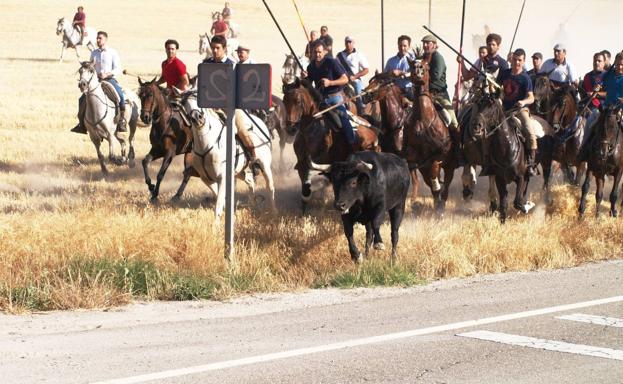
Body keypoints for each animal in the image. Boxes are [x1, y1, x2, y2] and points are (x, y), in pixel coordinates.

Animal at [180, 88, 278, 219]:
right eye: (184, 103)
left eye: (197, 98)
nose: (197, 118)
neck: (206, 145)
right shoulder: (206, 179)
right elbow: (219, 196)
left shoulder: (222, 177)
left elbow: (218, 203)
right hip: (238, 171)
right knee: (250, 180)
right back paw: (253, 206)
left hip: (265, 165)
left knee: (270, 187)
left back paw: (273, 212)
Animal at [284, 77, 380, 212]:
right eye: (284, 100)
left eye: (297, 101)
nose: (290, 128)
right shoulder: (302, 163)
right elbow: (305, 189)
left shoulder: (316, 162)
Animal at [404, 56, 458, 216]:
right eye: (412, 66)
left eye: (425, 66)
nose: (417, 74)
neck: (423, 121)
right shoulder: (414, 159)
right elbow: (417, 180)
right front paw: (414, 202)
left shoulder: (436, 158)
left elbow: (437, 184)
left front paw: (439, 208)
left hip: (450, 165)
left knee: (445, 185)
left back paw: (441, 206)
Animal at [476, 94, 532, 224]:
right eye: (479, 106)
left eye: (491, 109)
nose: (477, 126)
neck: (507, 148)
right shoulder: (500, 179)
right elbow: (503, 205)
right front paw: (502, 223)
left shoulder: (520, 177)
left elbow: (517, 202)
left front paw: (527, 206)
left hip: (526, 175)